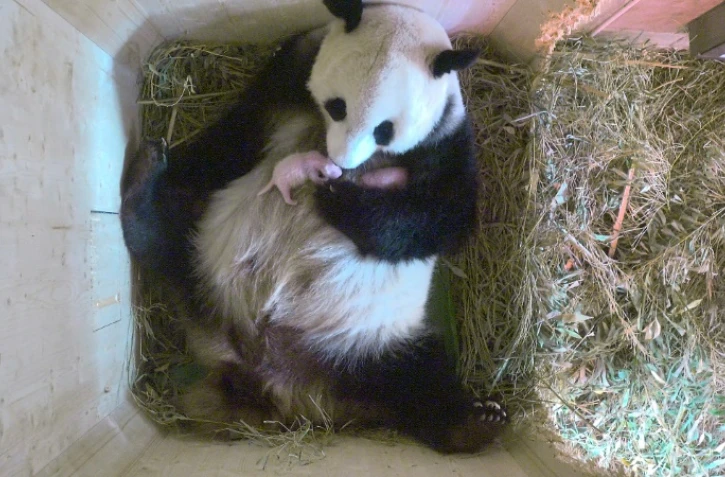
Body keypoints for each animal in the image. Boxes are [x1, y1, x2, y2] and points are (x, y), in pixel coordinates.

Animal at [121, 0, 508, 454]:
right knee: (169, 238)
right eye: (338, 106)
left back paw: (473, 421)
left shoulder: (446, 140)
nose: (341, 163)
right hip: (208, 259)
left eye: (385, 129)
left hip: (367, 342)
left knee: (418, 384)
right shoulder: (288, 77)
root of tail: (267, 376)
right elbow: (234, 136)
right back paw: (146, 180)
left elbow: (442, 215)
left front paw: (337, 198)